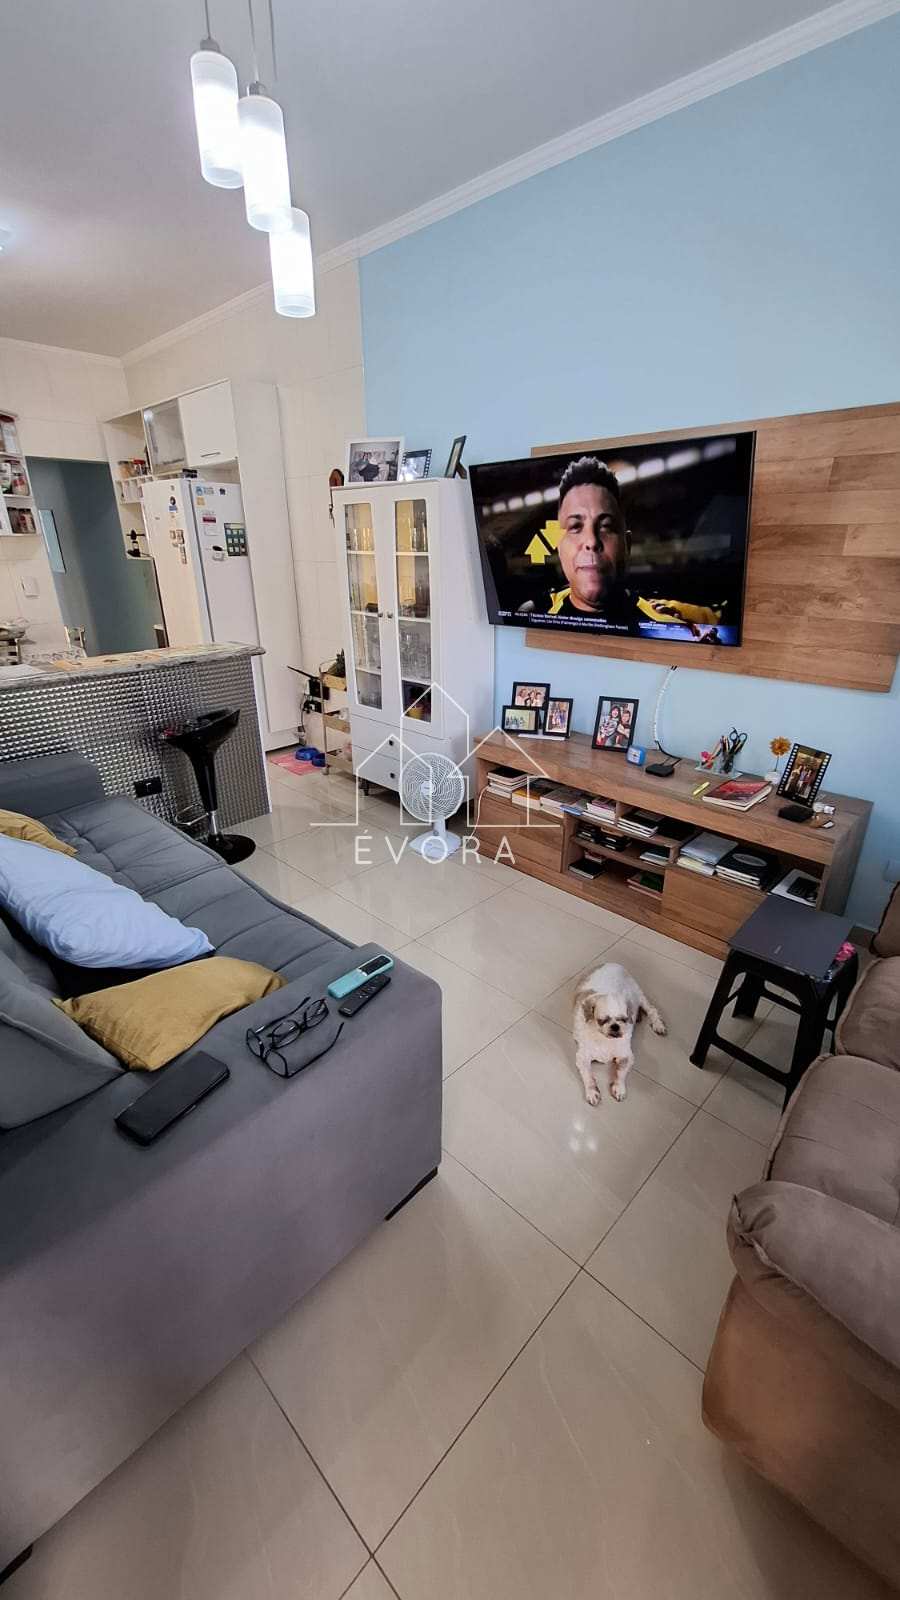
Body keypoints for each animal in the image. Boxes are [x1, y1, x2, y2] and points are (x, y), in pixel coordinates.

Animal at [573, 962, 667, 1106]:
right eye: (602, 1020)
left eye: (623, 1019)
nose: (615, 1026)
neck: (606, 1040)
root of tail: (612, 963)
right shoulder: (582, 1057)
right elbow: (588, 1076)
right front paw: (592, 1092)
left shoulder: (626, 1056)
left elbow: (620, 1073)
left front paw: (619, 1088)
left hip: (639, 996)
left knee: (652, 1010)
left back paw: (657, 1024)